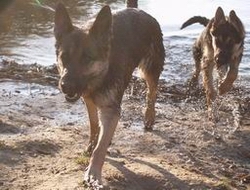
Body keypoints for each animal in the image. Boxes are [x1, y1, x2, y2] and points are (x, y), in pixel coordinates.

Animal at [53, 0, 165, 187]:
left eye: (87, 59)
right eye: (64, 57)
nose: (66, 86)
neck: (102, 74)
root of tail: (136, 10)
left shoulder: (111, 110)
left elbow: (100, 149)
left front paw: (93, 173)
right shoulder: (88, 99)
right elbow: (94, 125)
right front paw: (92, 143)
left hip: (150, 70)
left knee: (152, 93)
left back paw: (149, 116)